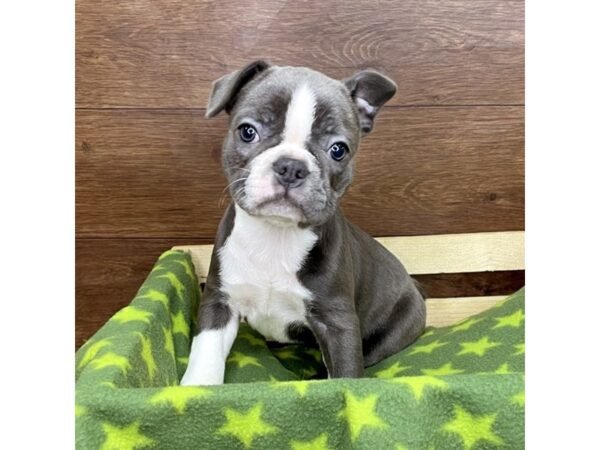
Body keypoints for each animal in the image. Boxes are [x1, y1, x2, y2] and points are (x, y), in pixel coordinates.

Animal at [182, 60, 426, 386]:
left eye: (338, 149)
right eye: (247, 132)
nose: (291, 166)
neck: (275, 234)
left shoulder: (338, 323)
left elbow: (346, 376)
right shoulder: (219, 301)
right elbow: (204, 356)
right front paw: (196, 389)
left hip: (397, 327)